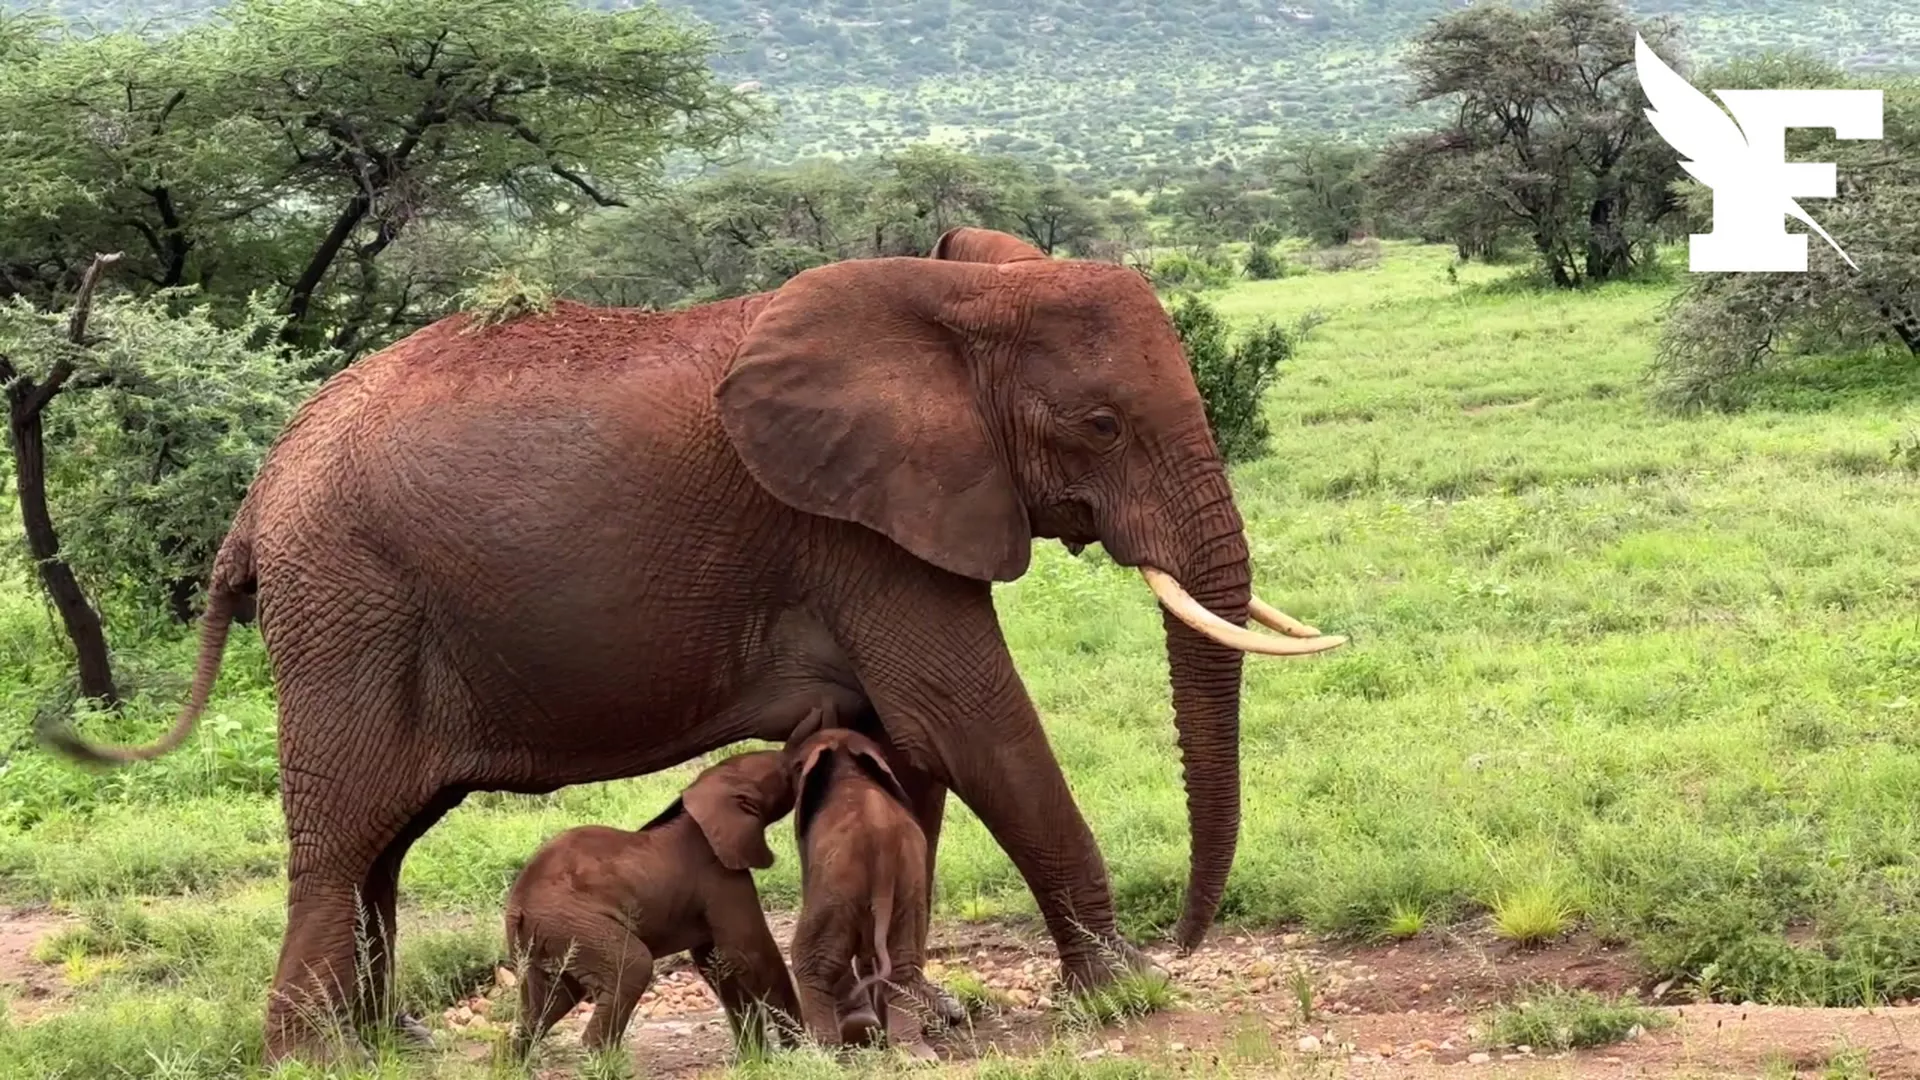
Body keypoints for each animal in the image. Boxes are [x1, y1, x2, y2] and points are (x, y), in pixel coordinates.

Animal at [503, 749, 802, 1053]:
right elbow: (750, 952)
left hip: (545, 938)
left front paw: (758, 1057)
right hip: (572, 923)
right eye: (787, 769)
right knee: (632, 968)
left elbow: (716, 964)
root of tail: (517, 906)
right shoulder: (721, 877)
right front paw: (797, 1050)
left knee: (547, 1002)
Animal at [783, 707, 940, 1060]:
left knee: (815, 959)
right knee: (904, 960)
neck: (848, 766)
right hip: (908, 883)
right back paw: (915, 1057)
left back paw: (820, 1052)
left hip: (840, 882)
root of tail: (882, 840)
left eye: (796, 766)